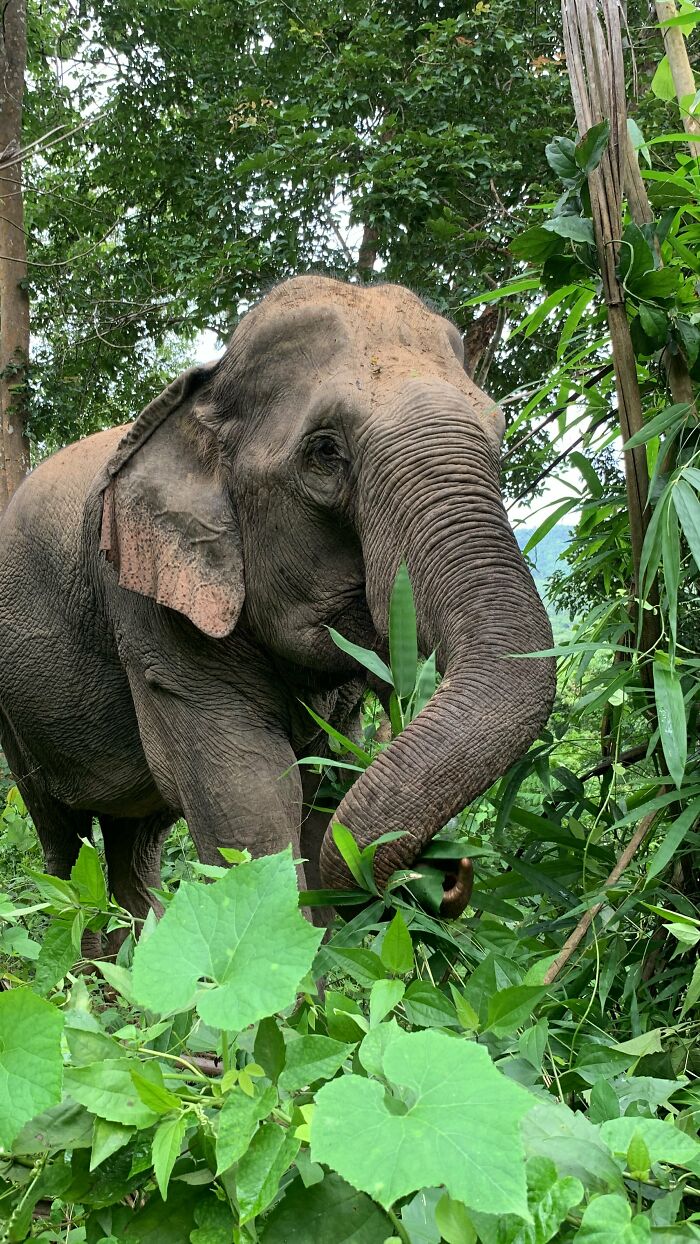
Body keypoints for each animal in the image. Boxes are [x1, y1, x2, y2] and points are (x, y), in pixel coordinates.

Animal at [0, 276, 555, 948]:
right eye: (325, 453)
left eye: (499, 432)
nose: (446, 870)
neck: (202, 391)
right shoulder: (146, 606)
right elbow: (252, 794)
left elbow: (322, 787)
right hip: (15, 716)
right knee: (64, 840)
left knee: (139, 840)